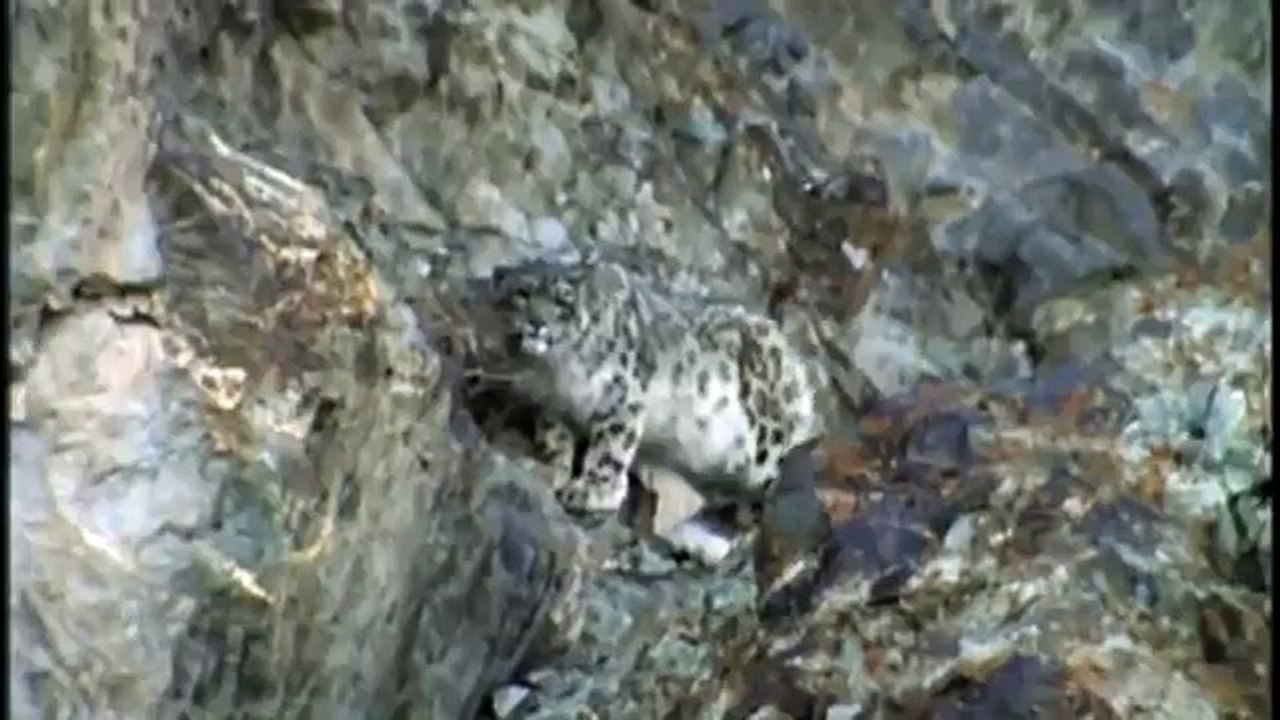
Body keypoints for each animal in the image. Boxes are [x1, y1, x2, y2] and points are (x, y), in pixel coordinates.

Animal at [485, 257, 821, 518]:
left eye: (562, 299)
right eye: (522, 293)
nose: (536, 323)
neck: (556, 369)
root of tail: (798, 365)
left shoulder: (619, 398)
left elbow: (610, 449)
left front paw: (594, 491)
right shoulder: (554, 405)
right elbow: (555, 439)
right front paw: (552, 468)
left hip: (768, 433)